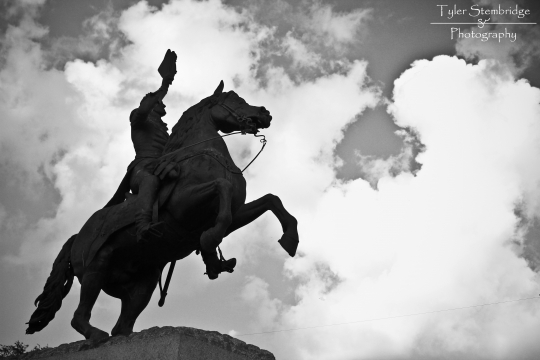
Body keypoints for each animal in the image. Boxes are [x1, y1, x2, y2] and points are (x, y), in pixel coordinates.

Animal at [25, 81, 300, 340]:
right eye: (235, 100)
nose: (265, 113)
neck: (207, 155)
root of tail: (76, 237)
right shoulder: (187, 206)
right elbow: (222, 190)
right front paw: (209, 243)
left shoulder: (236, 214)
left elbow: (271, 200)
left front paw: (289, 239)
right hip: (96, 267)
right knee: (80, 316)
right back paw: (95, 335)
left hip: (143, 283)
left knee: (121, 327)